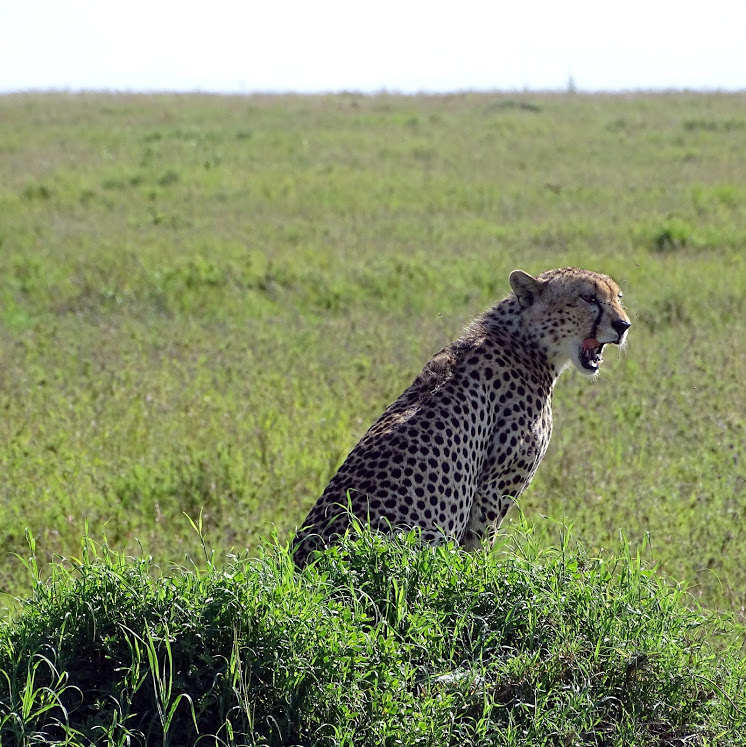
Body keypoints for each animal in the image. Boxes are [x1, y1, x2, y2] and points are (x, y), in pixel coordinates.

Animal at [293, 267, 631, 568]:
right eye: (588, 298)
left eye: (618, 297)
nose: (624, 325)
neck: (526, 341)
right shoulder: (494, 488)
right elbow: (478, 548)